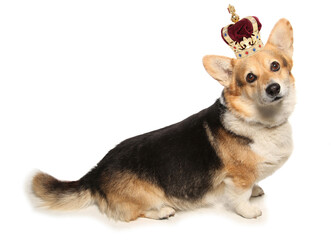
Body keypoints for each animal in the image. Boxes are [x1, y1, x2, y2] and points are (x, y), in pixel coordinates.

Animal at [31, 18, 296, 221]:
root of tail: (94, 174)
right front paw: (250, 211)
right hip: (145, 197)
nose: (273, 88)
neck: (262, 121)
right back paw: (162, 212)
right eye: (250, 77)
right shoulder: (238, 179)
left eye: (275, 66)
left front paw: (256, 190)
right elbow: (240, 198)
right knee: (131, 214)